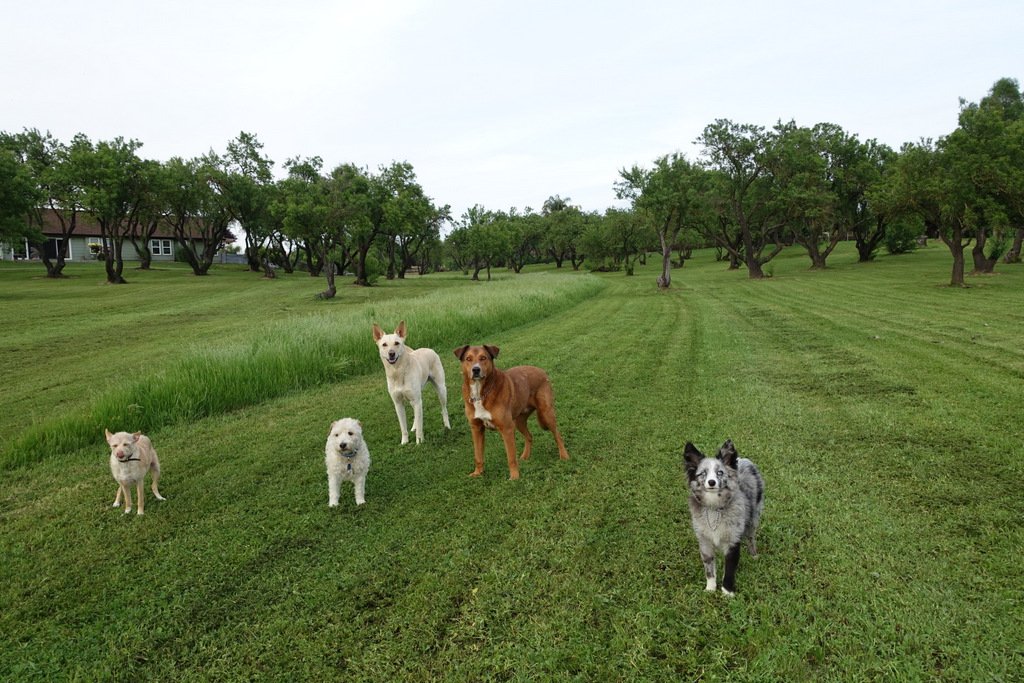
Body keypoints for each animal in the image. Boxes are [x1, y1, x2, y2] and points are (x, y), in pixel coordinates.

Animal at [454, 342, 569, 481]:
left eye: (483, 358)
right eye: (468, 359)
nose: (476, 370)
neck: (480, 393)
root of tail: (541, 370)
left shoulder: (507, 429)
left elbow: (511, 457)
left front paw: (514, 477)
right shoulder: (476, 429)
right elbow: (478, 455)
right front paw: (478, 473)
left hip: (546, 414)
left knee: (558, 435)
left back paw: (564, 456)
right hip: (519, 421)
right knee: (529, 436)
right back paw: (525, 456)